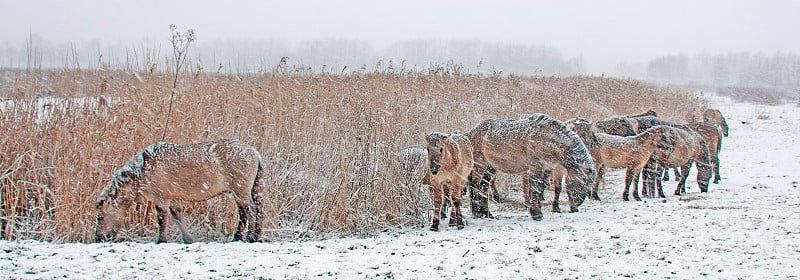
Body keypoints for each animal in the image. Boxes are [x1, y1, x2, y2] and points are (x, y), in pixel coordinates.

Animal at [95, 139, 266, 243]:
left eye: (100, 218)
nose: (98, 238)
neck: (145, 167)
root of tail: (255, 153)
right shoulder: (173, 198)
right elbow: (178, 217)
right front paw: (188, 239)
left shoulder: (161, 197)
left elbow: (162, 219)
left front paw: (161, 240)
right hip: (243, 192)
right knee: (248, 213)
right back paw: (243, 237)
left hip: (241, 191)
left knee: (250, 211)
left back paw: (250, 237)